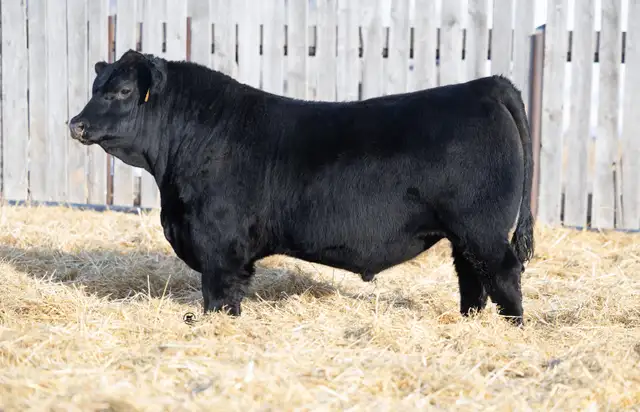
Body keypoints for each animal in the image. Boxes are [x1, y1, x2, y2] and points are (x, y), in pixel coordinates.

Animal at [68, 50, 535, 326]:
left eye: (123, 90)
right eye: (95, 87)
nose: (77, 124)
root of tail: (484, 85)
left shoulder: (219, 242)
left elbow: (219, 293)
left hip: (482, 228)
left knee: (503, 273)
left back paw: (513, 327)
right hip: (464, 234)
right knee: (471, 276)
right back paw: (468, 323)